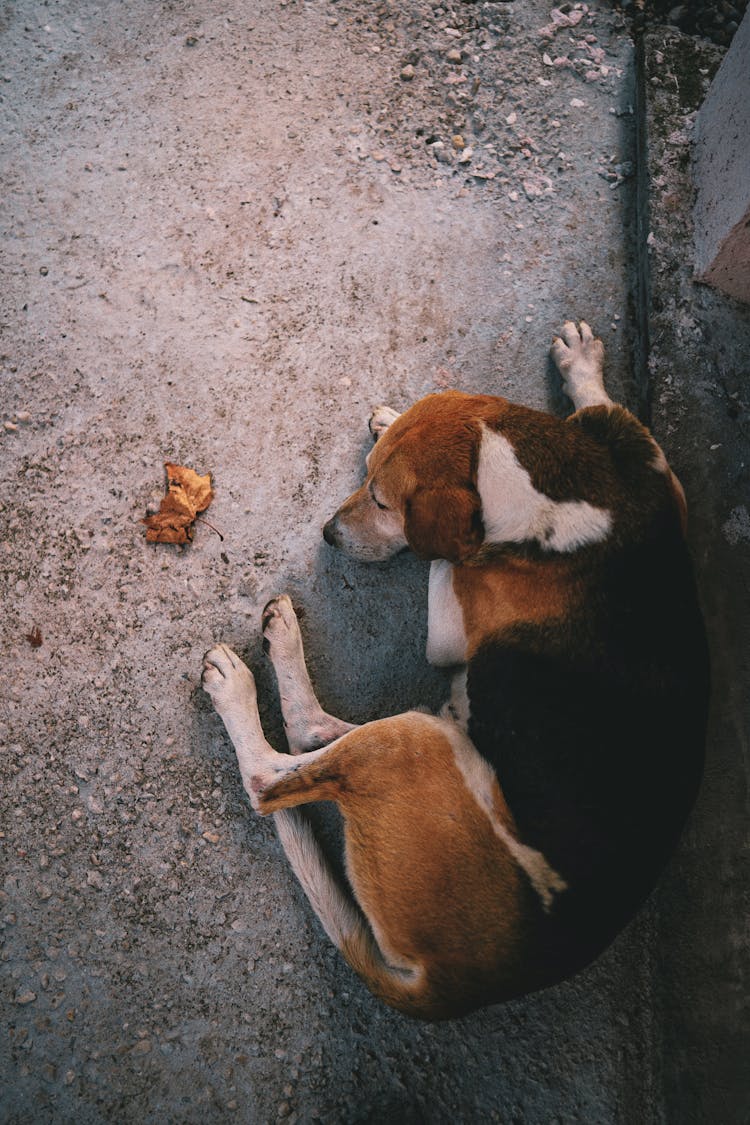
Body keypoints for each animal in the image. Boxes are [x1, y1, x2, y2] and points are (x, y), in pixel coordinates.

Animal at [203, 324, 710, 1021]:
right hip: (436, 739)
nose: (329, 534)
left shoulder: (450, 623)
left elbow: (446, 558)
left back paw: (246, 677)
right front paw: (579, 366)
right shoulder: (661, 478)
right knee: (314, 738)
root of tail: (455, 985)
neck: (558, 488)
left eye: (382, 502)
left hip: (413, 744)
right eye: (367, 479)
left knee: (273, 771)